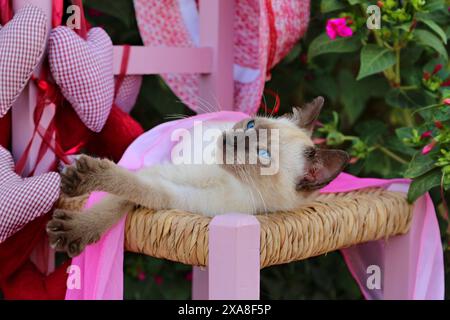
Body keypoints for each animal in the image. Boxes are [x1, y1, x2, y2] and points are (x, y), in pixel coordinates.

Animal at [46, 96, 348, 256]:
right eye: (251, 125)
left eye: (262, 154)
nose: (229, 140)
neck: (225, 178)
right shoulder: (161, 170)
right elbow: (116, 197)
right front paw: (80, 217)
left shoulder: (176, 197)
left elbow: (133, 190)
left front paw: (75, 227)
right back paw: (69, 162)